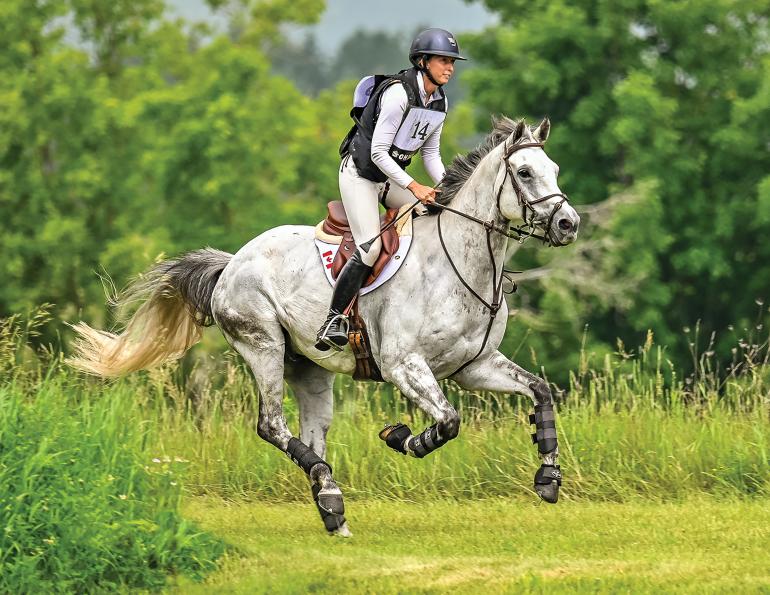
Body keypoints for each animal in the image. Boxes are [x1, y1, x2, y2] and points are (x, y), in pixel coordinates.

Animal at [69, 117, 580, 537]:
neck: (459, 263)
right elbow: (449, 422)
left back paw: (331, 504)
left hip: (309, 369)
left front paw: (548, 478)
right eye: (525, 173)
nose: (568, 224)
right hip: (263, 345)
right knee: (271, 425)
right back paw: (330, 494)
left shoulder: (474, 366)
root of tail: (232, 262)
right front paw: (400, 437)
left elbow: (539, 391)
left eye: (555, 168)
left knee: (312, 434)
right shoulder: (404, 365)